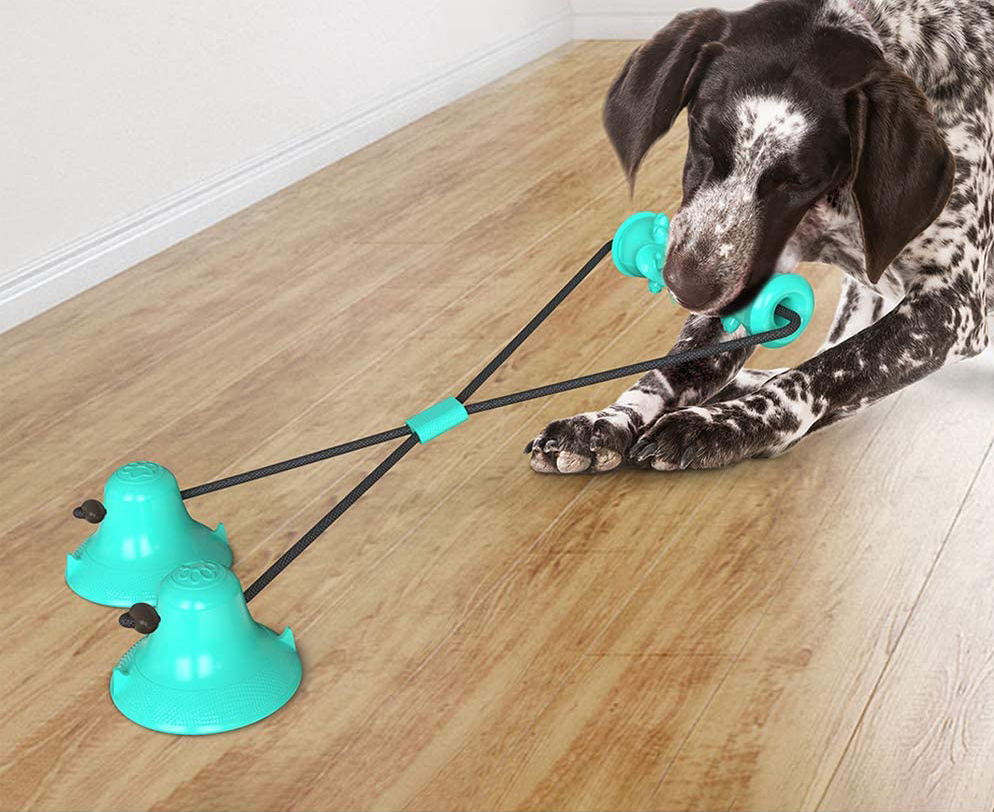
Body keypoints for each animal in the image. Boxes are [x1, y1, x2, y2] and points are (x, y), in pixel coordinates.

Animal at [524, 0, 988, 476]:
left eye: (800, 180)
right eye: (703, 138)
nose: (684, 288)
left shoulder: (950, 305)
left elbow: (829, 370)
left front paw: (721, 426)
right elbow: (675, 368)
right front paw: (606, 420)